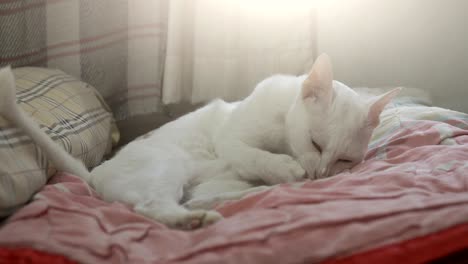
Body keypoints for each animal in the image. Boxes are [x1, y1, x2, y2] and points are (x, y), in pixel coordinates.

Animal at [0, 55, 400, 229]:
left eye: (345, 161)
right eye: (315, 143)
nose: (320, 176)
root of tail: (96, 173)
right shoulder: (231, 139)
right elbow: (254, 154)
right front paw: (285, 168)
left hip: (207, 182)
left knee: (197, 197)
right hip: (168, 163)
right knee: (149, 207)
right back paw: (195, 220)